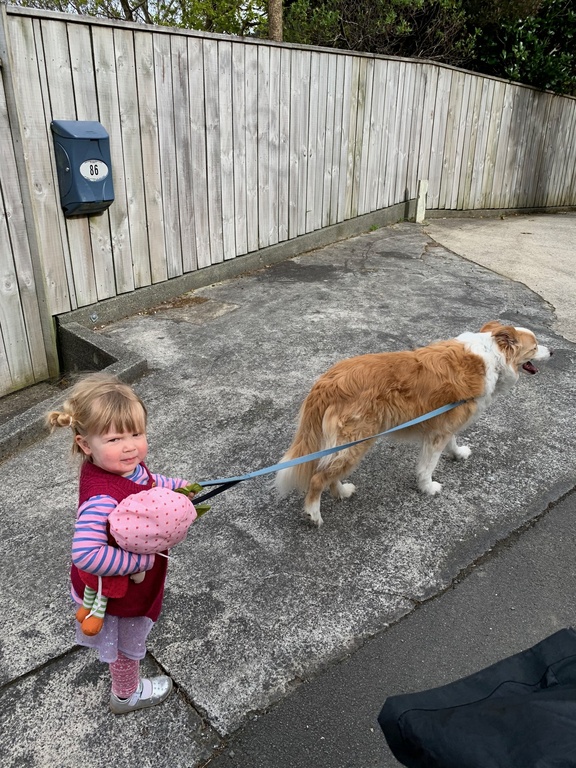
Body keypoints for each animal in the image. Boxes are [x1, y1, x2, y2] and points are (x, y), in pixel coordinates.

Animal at [275, 321, 551, 526]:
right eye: (535, 345)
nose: (553, 352)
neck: (492, 355)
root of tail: (328, 381)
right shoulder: (437, 433)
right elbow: (427, 467)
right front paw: (428, 487)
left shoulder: (448, 421)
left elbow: (453, 440)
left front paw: (458, 453)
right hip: (356, 442)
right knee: (317, 477)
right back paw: (314, 513)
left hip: (346, 444)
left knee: (328, 471)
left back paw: (341, 492)